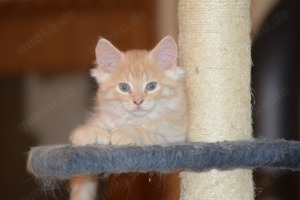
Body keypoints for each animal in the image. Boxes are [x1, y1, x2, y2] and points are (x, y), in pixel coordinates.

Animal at [69, 36, 188, 200]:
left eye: (151, 86)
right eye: (124, 87)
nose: (138, 102)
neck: (132, 119)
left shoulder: (174, 134)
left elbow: (145, 132)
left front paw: (123, 133)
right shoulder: (104, 116)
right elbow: (92, 126)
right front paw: (87, 132)